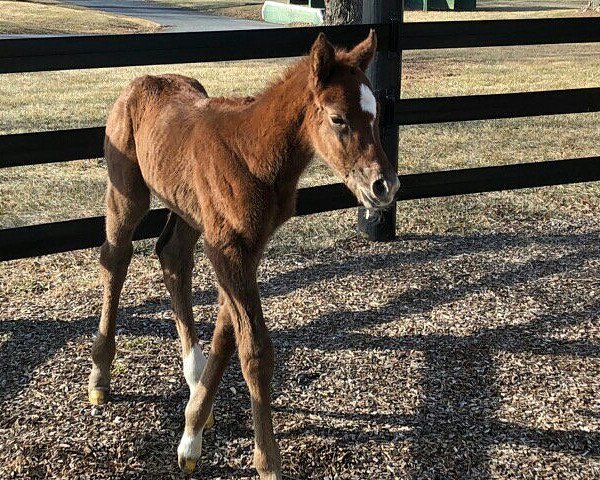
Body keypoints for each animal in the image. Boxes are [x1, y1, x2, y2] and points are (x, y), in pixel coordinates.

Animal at [86, 31, 398, 478]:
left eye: (375, 115)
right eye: (339, 118)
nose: (384, 186)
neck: (252, 155)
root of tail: (143, 81)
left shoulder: (244, 249)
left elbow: (228, 335)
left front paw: (192, 431)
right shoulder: (228, 249)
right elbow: (255, 352)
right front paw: (267, 462)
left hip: (188, 209)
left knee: (172, 257)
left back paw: (192, 374)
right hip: (127, 194)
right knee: (115, 258)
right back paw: (99, 376)